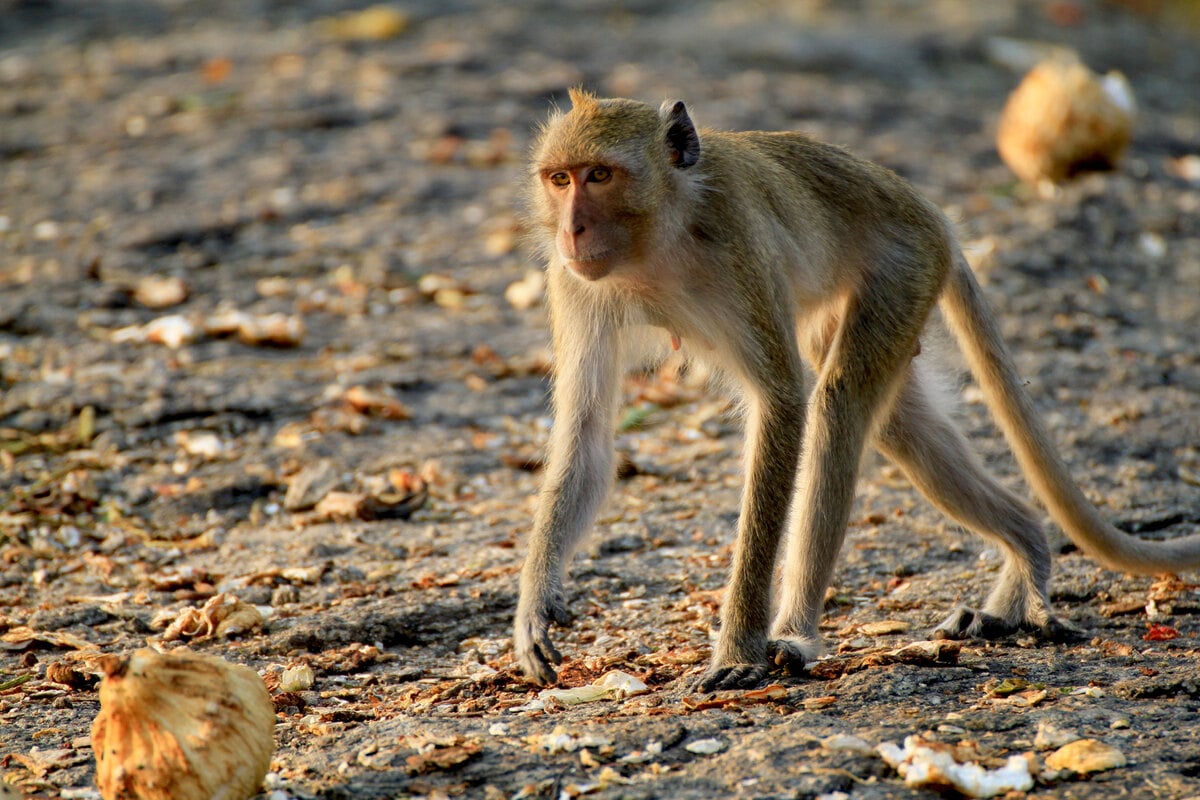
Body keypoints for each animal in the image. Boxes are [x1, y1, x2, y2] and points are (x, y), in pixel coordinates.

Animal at [513, 89, 1200, 692]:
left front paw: (738, 647)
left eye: (600, 175)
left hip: (906, 265)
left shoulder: (737, 246)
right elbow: (585, 433)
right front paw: (535, 607)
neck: (662, 235)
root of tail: (928, 211)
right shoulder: (571, 282)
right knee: (897, 422)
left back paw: (796, 635)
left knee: (838, 403)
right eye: (559, 179)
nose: (572, 230)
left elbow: (783, 404)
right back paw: (1025, 550)